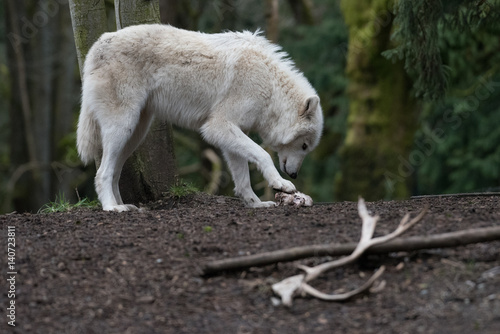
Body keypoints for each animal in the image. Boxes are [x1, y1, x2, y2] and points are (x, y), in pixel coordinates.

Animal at [76, 25, 322, 211]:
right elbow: (263, 154)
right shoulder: (217, 126)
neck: (270, 87)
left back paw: (124, 205)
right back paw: (111, 208)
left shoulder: (230, 132)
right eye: (304, 146)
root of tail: (97, 45)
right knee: (102, 173)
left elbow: (242, 178)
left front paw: (256, 204)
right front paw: (280, 183)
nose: (294, 174)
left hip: (134, 134)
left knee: (114, 172)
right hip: (122, 128)